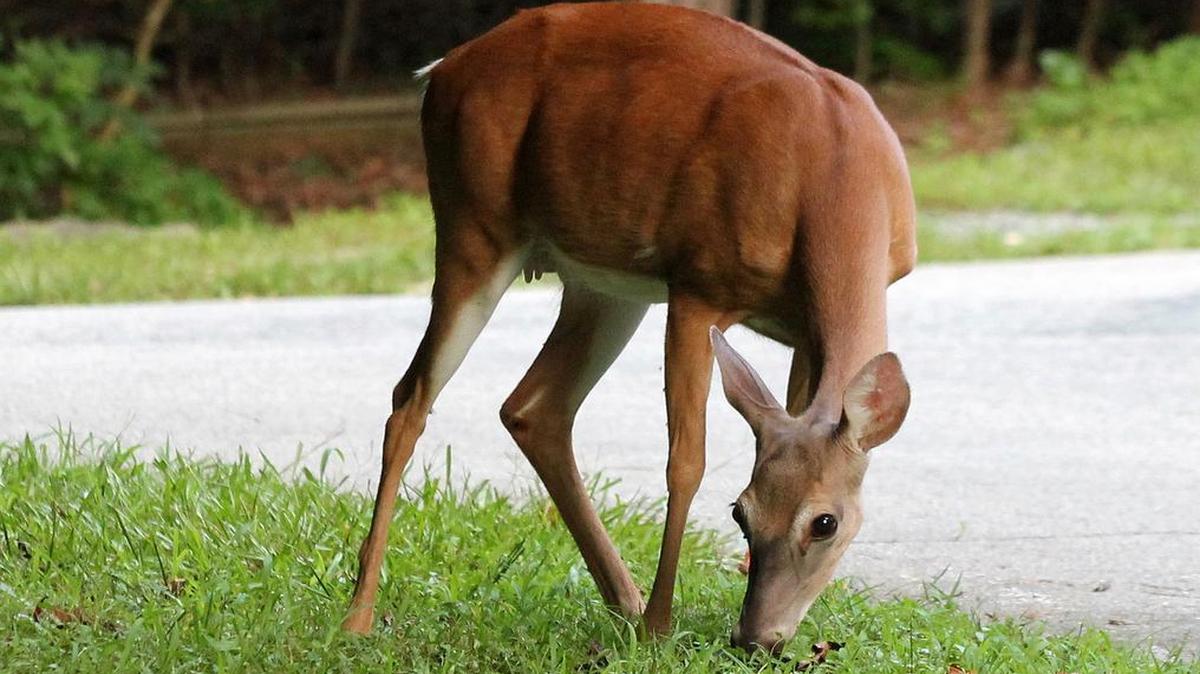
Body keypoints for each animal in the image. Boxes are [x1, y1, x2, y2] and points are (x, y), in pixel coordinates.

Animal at [342, 1, 915, 653]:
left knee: (532, 406)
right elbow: (685, 461)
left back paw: (624, 600)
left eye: (826, 522)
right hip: (473, 228)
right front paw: (662, 626)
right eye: (739, 513)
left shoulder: (800, 330)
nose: (755, 636)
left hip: (601, 287)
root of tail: (439, 71)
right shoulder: (697, 288)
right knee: (410, 399)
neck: (835, 173)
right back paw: (359, 615)